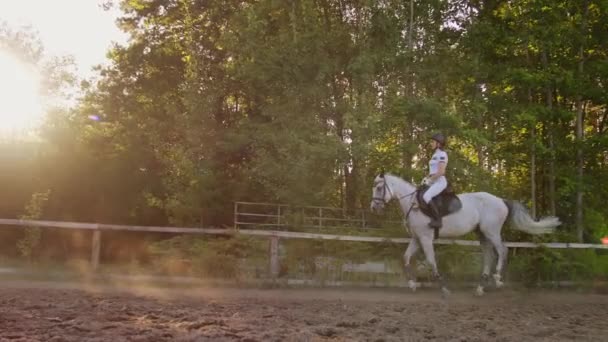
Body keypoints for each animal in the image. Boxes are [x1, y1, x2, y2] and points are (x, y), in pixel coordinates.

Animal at [366, 172, 560, 296]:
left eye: (379, 188)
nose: (374, 208)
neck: (413, 203)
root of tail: (501, 200)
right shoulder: (417, 238)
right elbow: (406, 258)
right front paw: (413, 284)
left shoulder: (426, 238)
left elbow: (431, 261)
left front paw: (444, 288)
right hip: (482, 234)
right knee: (489, 255)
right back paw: (481, 287)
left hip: (491, 231)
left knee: (502, 251)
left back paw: (497, 280)